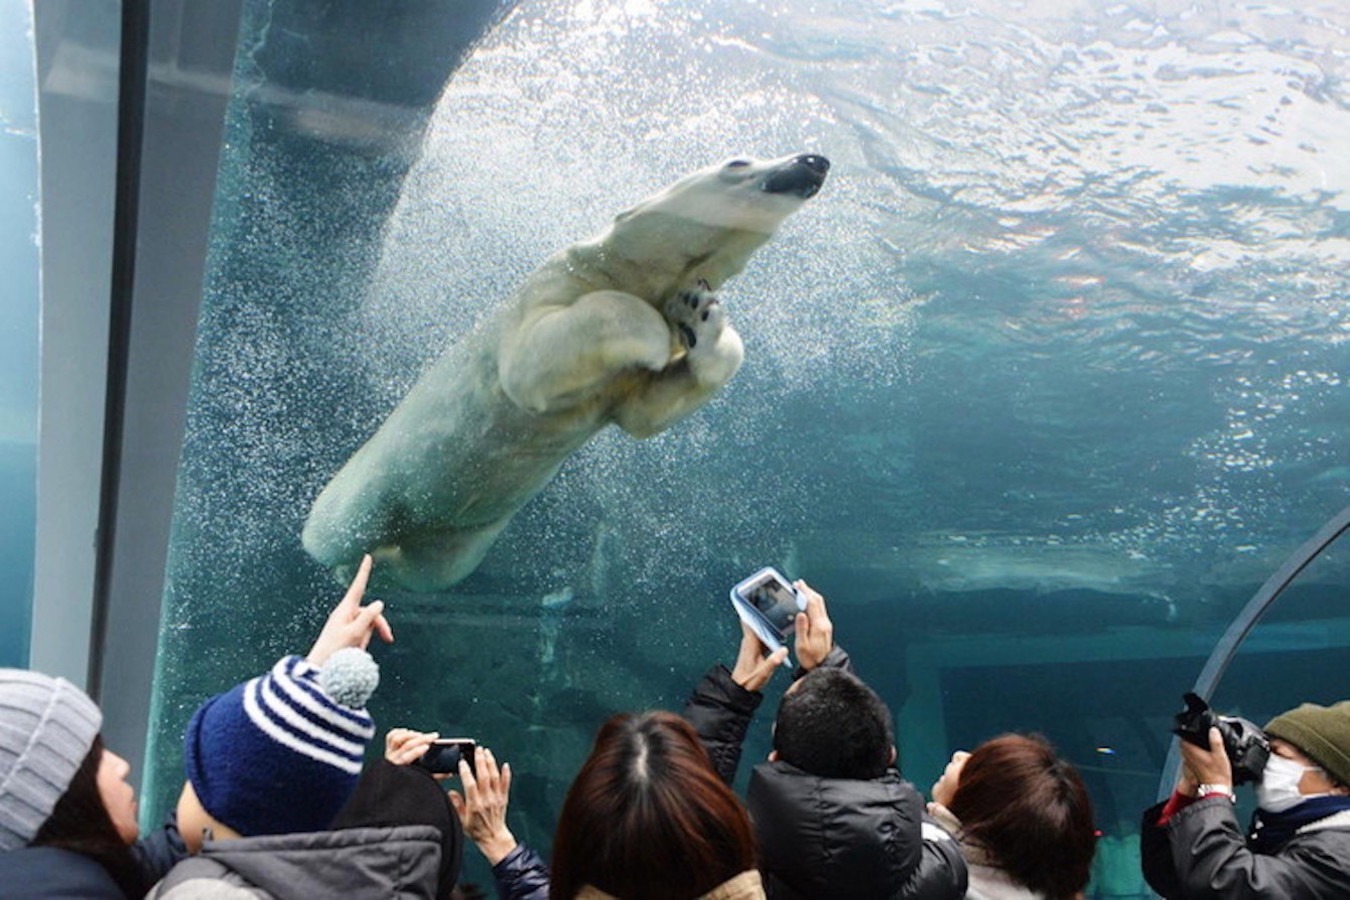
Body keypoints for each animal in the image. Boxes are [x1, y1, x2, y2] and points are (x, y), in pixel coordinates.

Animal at [305, 153, 826, 591]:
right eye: (737, 161)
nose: (813, 161)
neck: (631, 271)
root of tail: (406, 524)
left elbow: (644, 413)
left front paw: (699, 314)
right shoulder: (551, 287)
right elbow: (534, 361)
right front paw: (655, 332)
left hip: (462, 535)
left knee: (429, 571)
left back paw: (375, 567)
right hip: (374, 482)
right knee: (334, 529)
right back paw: (340, 563)